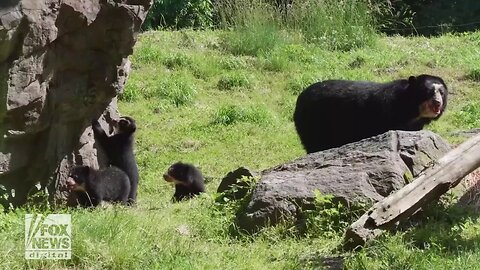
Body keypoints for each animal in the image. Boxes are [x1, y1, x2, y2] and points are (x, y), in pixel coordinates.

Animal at [294, 75, 448, 153]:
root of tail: (299, 99)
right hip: (314, 122)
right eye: (428, 92)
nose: (437, 103)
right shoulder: (387, 115)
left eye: (441, 92)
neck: (412, 112)